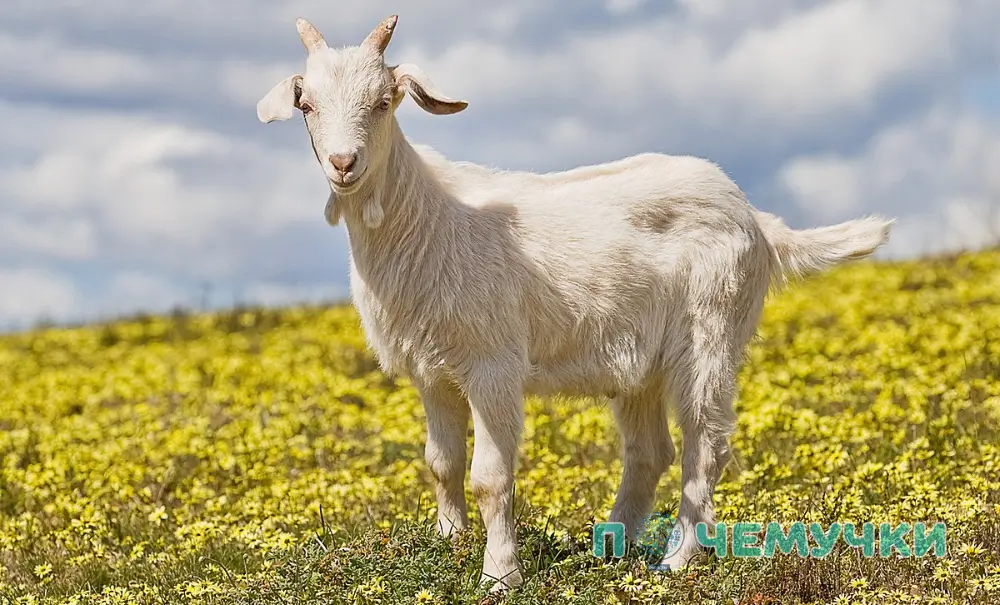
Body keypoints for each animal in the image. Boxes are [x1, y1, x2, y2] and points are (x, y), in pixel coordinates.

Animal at [257, 15, 894, 592]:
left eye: (384, 101)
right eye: (307, 105)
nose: (344, 164)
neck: (428, 218)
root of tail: (758, 221)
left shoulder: (493, 365)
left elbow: (490, 477)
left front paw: (499, 575)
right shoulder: (431, 372)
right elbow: (441, 464)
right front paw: (449, 545)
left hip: (712, 331)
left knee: (705, 444)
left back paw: (677, 559)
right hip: (640, 364)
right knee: (649, 452)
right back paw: (611, 549)